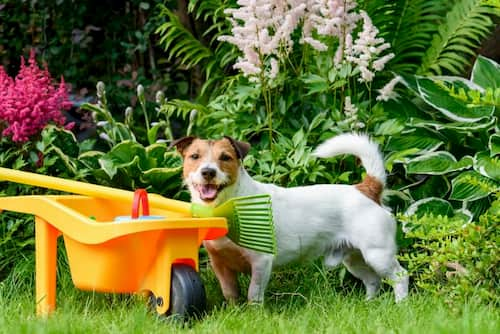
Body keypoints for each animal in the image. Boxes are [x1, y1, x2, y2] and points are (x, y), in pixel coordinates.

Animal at [170, 132, 408, 302]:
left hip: (378, 254)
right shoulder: (220, 264)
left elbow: (253, 294)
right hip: (354, 258)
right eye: (194, 157)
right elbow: (230, 294)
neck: (228, 206)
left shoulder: (261, 262)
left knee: (400, 276)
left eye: (225, 158)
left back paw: (400, 305)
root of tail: (367, 188)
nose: (208, 172)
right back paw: (369, 304)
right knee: (372, 280)